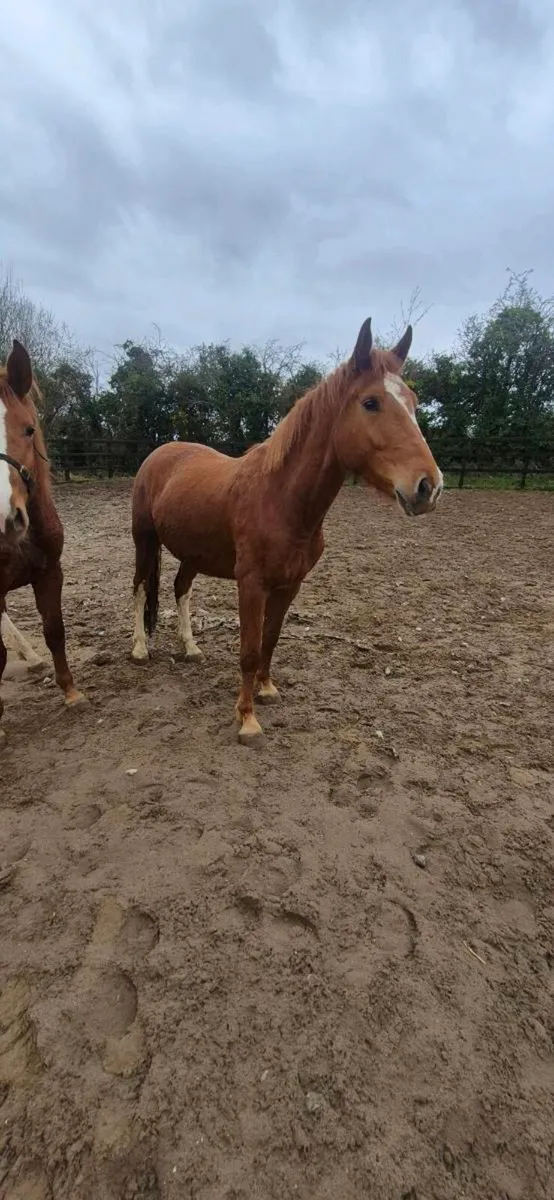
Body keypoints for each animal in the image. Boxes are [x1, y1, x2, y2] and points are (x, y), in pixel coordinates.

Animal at [130, 318, 443, 746]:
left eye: (413, 402)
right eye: (371, 402)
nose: (428, 486)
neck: (281, 499)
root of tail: (160, 454)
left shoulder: (290, 584)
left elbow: (271, 639)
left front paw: (266, 689)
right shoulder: (252, 584)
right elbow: (248, 649)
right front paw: (247, 719)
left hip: (193, 553)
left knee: (181, 588)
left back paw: (191, 647)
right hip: (144, 541)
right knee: (139, 587)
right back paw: (139, 649)